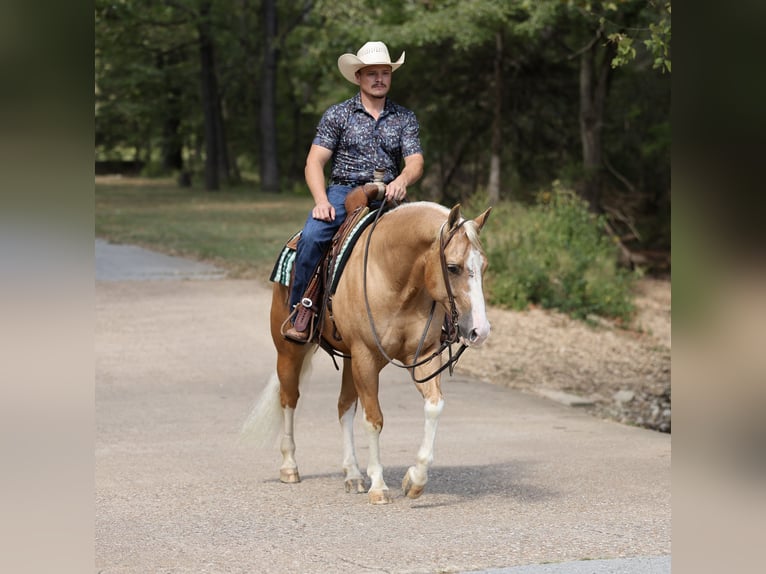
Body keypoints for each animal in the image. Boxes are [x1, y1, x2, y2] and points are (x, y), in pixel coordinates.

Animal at [245, 200, 491, 504]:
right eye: (453, 267)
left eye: (483, 265)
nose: (480, 330)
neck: (393, 276)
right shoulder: (365, 357)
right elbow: (374, 420)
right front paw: (379, 486)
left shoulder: (421, 356)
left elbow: (434, 406)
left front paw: (415, 480)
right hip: (290, 351)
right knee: (289, 399)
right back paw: (290, 467)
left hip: (350, 362)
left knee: (344, 407)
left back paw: (352, 474)